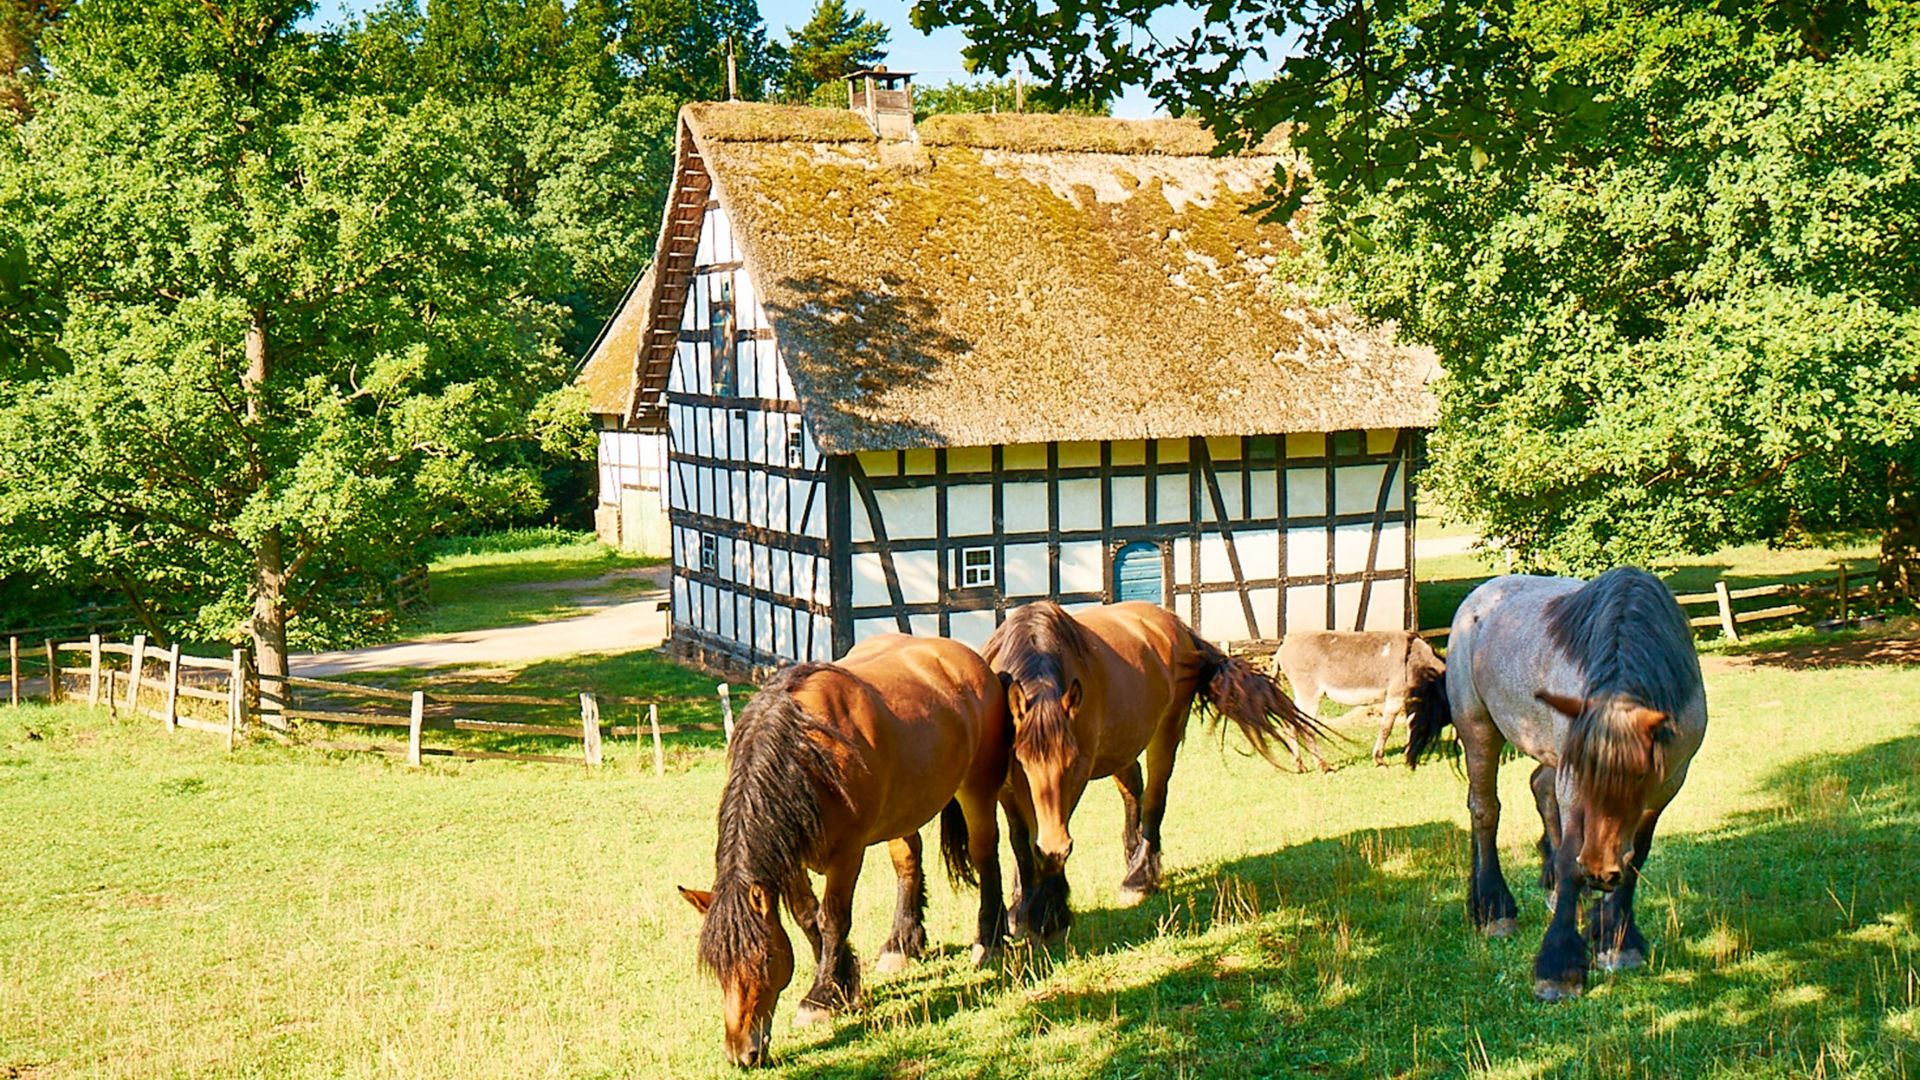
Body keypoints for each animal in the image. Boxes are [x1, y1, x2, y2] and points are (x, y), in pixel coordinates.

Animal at [679, 634, 1013, 1060]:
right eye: (719, 968)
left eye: (764, 959)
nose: (741, 1053)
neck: (807, 750)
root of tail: (970, 659)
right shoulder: (791, 858)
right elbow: (807, 917)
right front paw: (843, 984)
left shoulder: (847, 854)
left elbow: (833, 918)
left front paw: (820, 998)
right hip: (903, 810)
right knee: (908, 862)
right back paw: (901, 943)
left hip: (977, 788)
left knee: (985, 852)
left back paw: (989, 939)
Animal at [983, 595, 1328, 933]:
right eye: (1022, 762)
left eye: (1072, 761)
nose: (1055, 845)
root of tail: (1176, 626)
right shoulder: (1007, 786)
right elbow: (1021, 840)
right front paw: (1022, 905)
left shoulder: (1077, 777)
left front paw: (1049, 911)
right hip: (1122, 746)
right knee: (1133, 792)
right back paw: (1132, 858)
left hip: (1166, 733)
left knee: (1153, 800)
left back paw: (1139, 877)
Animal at [1413, 568, 1712, 999]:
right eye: (1584, 772)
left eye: (1641, 776)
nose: (1599, 871)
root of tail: (1479, 596)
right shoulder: (1572, 781)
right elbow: (1571, 854)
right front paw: (1559, 966)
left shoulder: (1666, 786)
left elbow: (1636, 855)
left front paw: (1616, 940)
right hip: (1479, 728)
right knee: (1484, 810)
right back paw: (1493, 909)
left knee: (1540, 788)